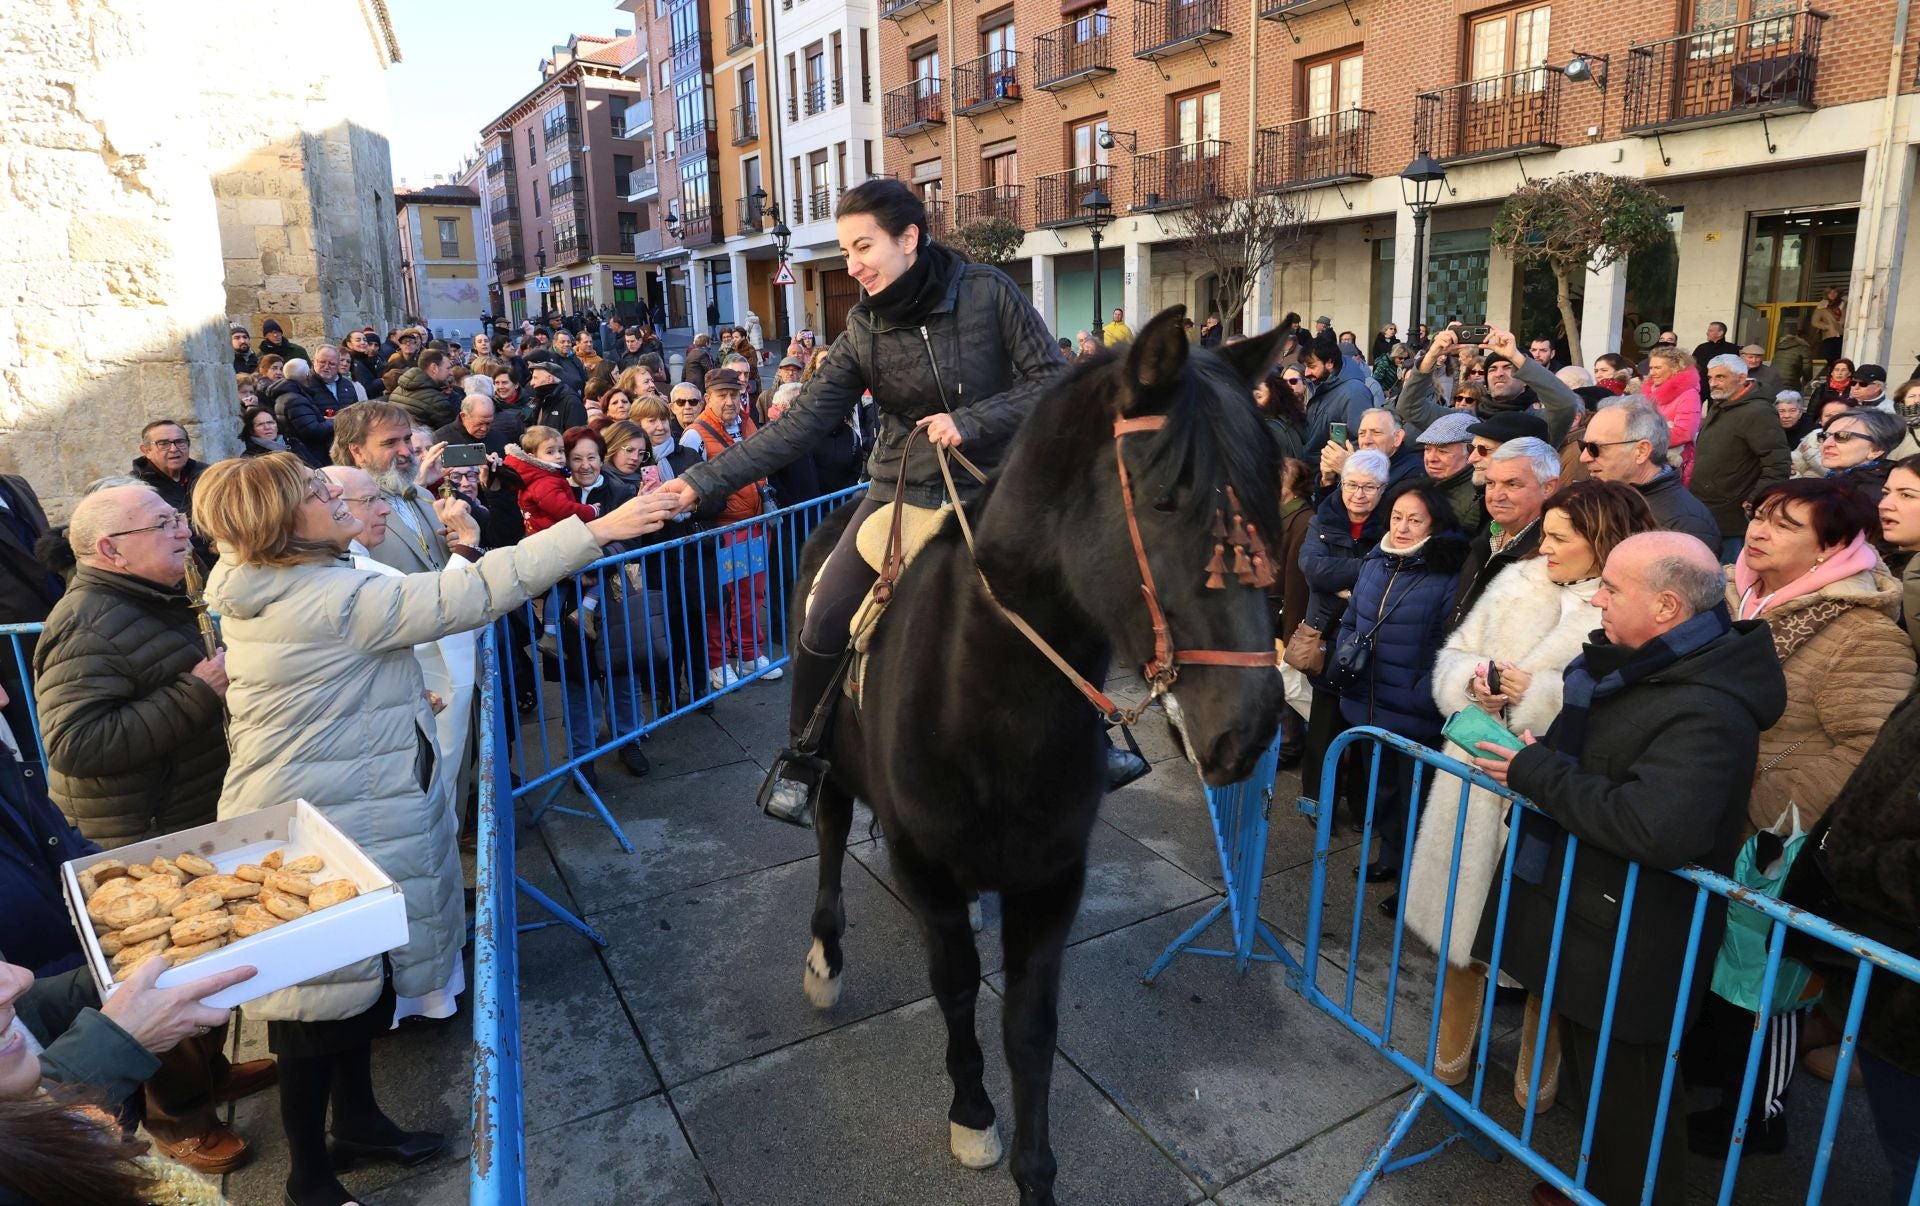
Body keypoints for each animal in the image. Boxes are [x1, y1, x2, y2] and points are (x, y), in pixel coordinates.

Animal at [794, 309, 1290, 1206]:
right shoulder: (925, 862)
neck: (989, 706)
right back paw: (825, 953)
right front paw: (972, 1115)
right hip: (831, 768)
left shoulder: (1053, 878)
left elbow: (1029, 1028)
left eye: (1268, 499)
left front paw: (1035, 1172)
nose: (1254, 727)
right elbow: (956, 987)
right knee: (828, 829)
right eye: (1167, 499)